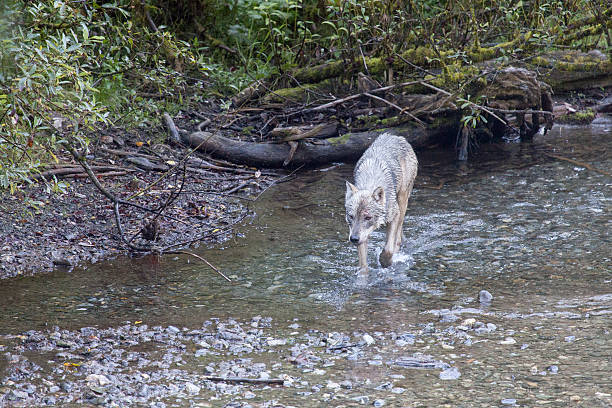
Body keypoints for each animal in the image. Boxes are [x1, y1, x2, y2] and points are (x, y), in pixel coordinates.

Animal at [344, 132, 416, 278]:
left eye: (368, 217)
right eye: (351, 216)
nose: (353, 239)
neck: (371, 179)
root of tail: (396, 136)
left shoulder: (394, 215)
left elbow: (388, 249)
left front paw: (385, 261)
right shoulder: (362, 235)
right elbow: (363, 265)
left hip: (402, 200)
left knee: (398, 235)